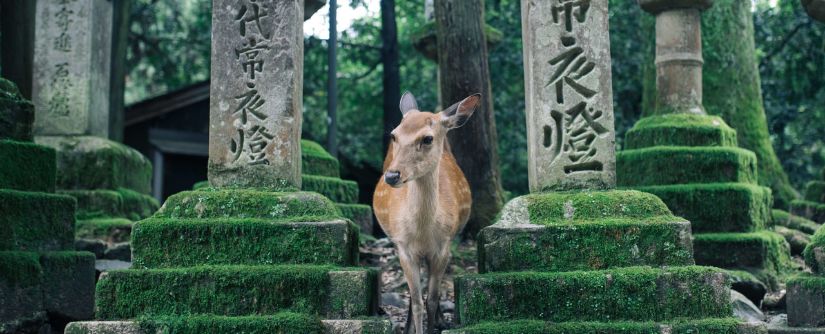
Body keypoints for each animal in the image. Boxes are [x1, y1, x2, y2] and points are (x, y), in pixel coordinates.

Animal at [372, 91, 480, 334]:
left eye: (427, 138)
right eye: (394, 135)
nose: (392, 176)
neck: (422, 233)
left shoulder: (443, 247)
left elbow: (431, 299)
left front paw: (433, 326)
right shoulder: (404, 247)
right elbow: (417, 301)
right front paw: (413, 328)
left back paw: (440, 320)